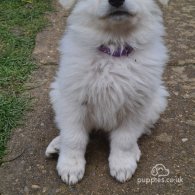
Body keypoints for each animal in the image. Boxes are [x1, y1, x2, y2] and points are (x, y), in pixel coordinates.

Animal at [45, 0, 169, 184]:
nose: (116, 1)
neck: (114, 51)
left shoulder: (137, 104)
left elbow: (125, 138)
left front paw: (122, 164)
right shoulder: (73, 100)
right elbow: (74, 137)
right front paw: (70, 166)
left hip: (157, 101)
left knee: (140, 130)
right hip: (56, 93)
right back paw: (57, 144)